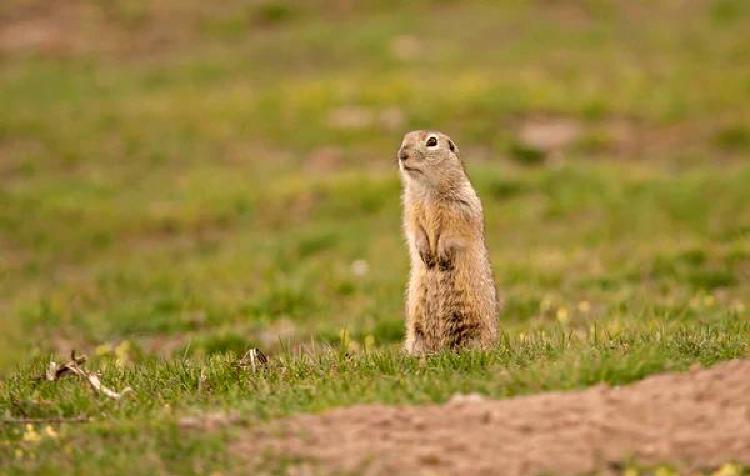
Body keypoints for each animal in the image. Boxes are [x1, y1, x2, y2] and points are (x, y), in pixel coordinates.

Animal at [400, 130, 500, 354]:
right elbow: (414, 229)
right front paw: (426, 253)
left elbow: (454, 231)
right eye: (404, 139)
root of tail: (440, 349)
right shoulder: (410, 208)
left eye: (432, 141)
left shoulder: (461, 207)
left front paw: (441, 254)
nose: (402, 155)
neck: (427, 189)